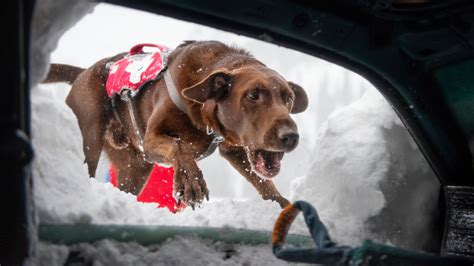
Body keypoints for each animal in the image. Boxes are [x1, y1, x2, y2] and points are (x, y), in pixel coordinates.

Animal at [44, 41, 310, 208]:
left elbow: (265, 183)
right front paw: (191, 183)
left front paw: (283, 207)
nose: (291, 136)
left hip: (135, 166)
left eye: (288, 98)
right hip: (90, 138)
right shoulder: (151, 139)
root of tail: (83, 73)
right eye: (253, 95)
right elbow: (180, 147)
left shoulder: (233, 149)